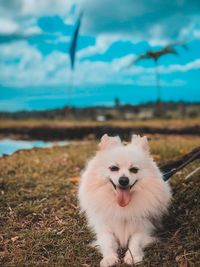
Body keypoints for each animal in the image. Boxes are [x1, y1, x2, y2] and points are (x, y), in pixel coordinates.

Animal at [78, 135, 172, 266]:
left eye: (134, 170)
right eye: (113, 168)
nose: (123, 180)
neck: (122, 206)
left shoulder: (143, 228)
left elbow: (135, 242)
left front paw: (132, 257)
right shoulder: (105, 229)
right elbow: (108, 243)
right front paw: (109, 258)